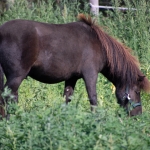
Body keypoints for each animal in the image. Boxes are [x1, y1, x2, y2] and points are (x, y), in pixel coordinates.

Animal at [0, 13, 150, 117]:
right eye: (137, 91)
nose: (138, 114)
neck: (99, 45)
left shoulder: (71, 78)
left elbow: (67, 99)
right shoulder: (90, 75)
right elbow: (93, 99)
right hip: (16, 76)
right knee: (5, 98)